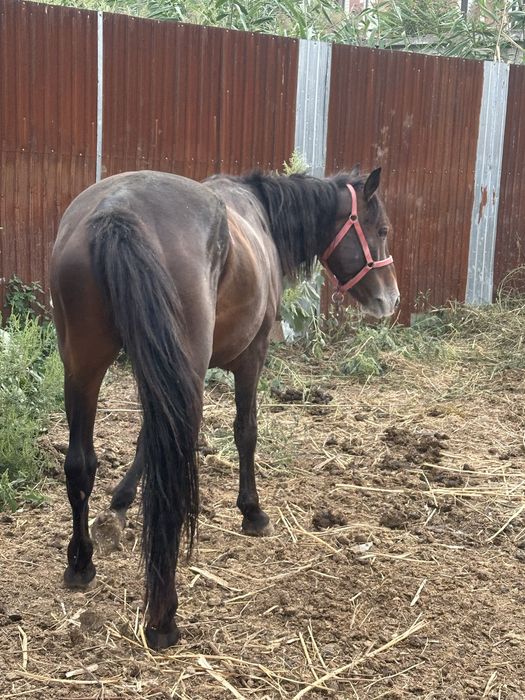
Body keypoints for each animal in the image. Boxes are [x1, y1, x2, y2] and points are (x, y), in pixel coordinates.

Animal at [50, 166, 399, 650]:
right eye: (380, 230)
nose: (391, 299)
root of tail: (117, 212)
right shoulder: (252, 356)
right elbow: (245, 432)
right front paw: (252, 512)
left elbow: (143, 442)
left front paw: (119, 503)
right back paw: (163, 617)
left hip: (83, 367)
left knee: (81, 464)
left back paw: (81, 563)